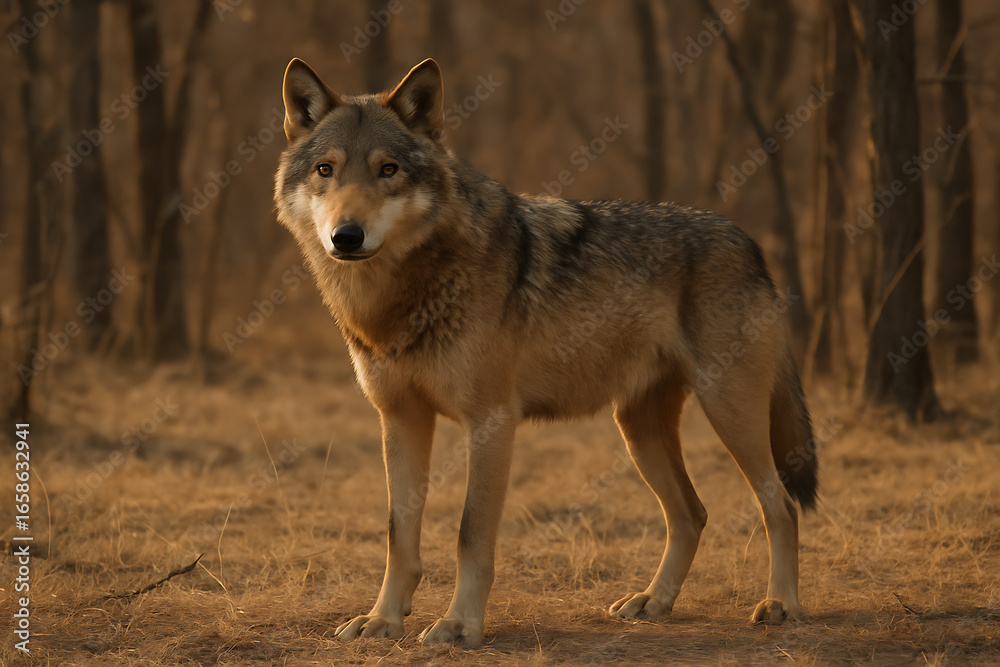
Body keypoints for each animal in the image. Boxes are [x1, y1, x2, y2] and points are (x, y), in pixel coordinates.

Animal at [274, 58, 818, 647]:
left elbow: (470, 533)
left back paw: (781, 604)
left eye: (388, 169)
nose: (346, 236)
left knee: (781, 505)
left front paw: (460, 625)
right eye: (326, 170)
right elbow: (399, 533)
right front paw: (383, 620)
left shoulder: (492, 422)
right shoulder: (400, 418)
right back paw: (654, 601)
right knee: (691, 514)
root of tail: (751, 245)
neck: (403, 295)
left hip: (728, 414)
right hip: (638, 429)